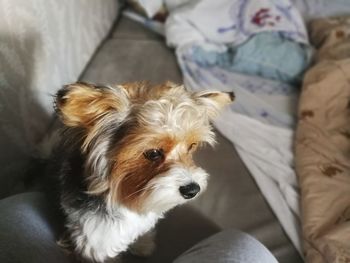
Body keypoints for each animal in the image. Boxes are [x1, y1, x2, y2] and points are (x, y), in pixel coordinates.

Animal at [53, 81, 234, 262]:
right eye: (153, 153)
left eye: (191, 146)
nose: (192, 190)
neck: (128, 197)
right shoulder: (95, 242)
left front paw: (143, 244)